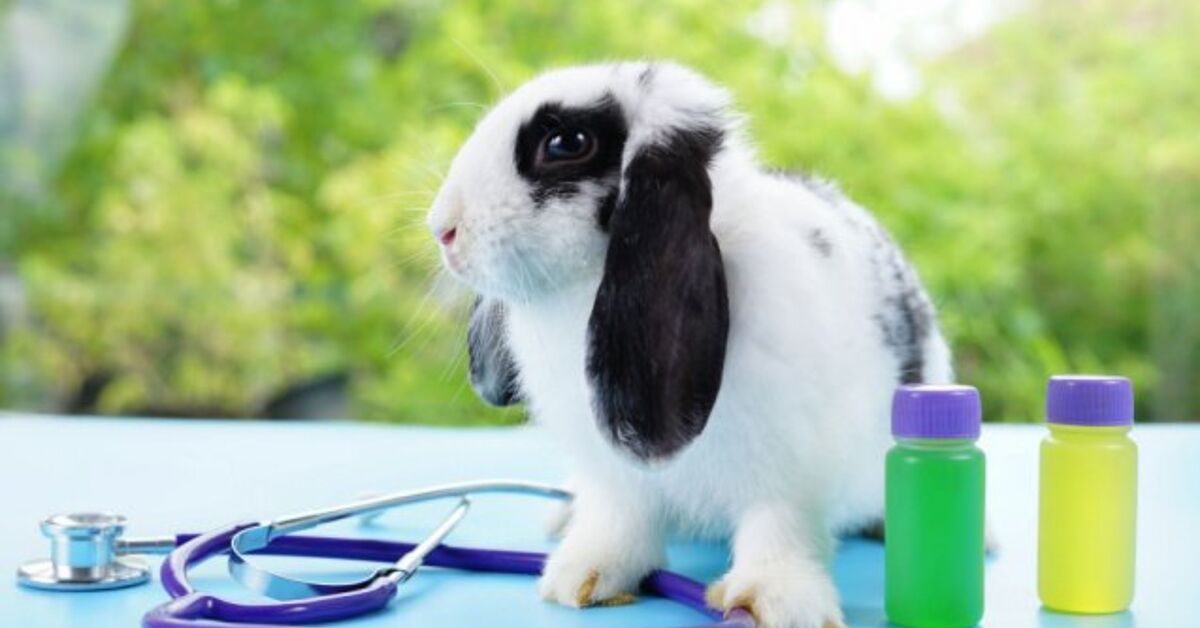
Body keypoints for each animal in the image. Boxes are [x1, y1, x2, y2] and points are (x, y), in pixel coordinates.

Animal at [426, 61, 952, 628]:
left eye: (566, 143)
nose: (443, 229)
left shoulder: (788, 469)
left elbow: (779, 527)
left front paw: (776, 600)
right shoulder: (615, 474)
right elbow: (619, 518)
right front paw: (583, 576)